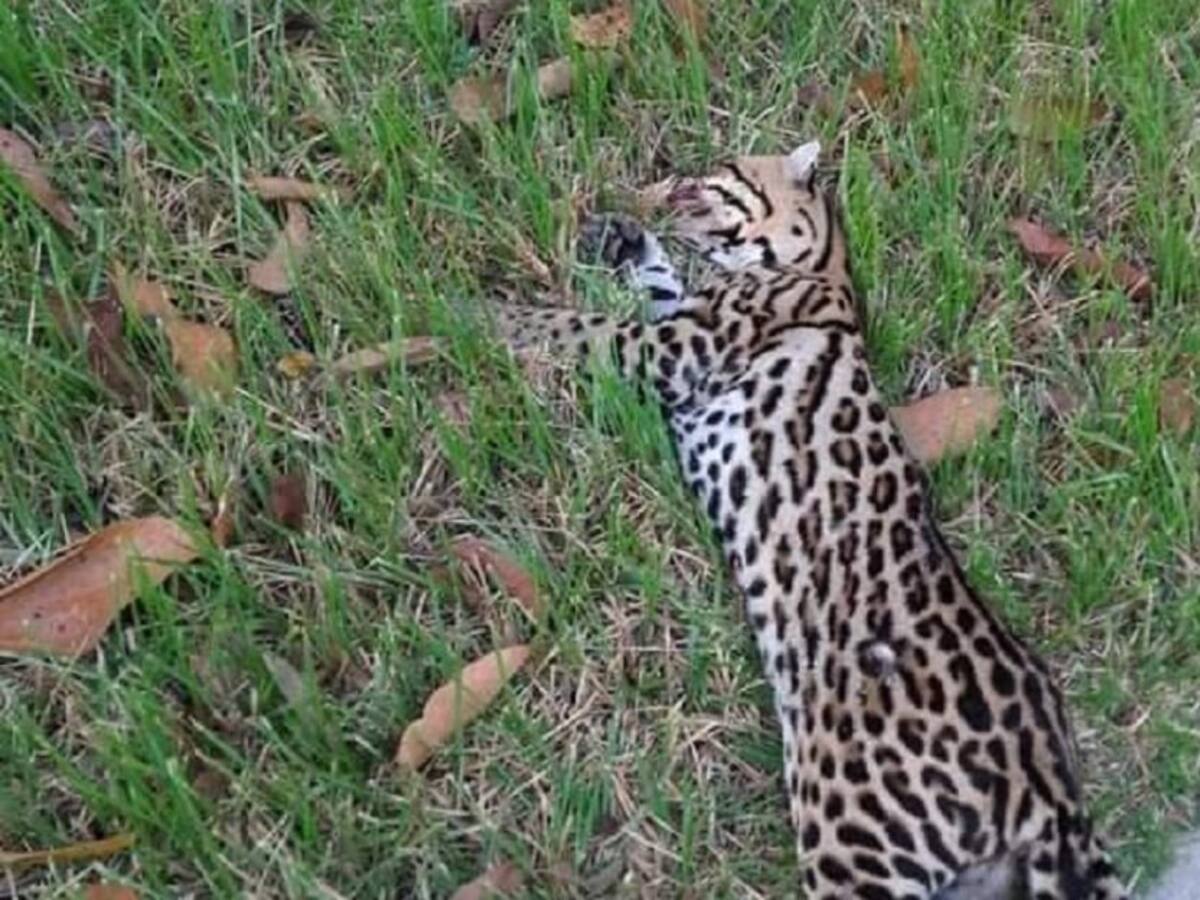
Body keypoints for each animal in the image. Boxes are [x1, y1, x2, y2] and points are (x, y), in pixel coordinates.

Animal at [483, 140, 1128, 900]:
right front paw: (625, 242)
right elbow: (657, 284)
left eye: (713, 180)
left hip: (851, 837)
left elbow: (580, 325)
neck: (818, 260)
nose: (662, 192)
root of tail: (1049, 783)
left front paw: (482, 316)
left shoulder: (671, 353)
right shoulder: (679, 329)